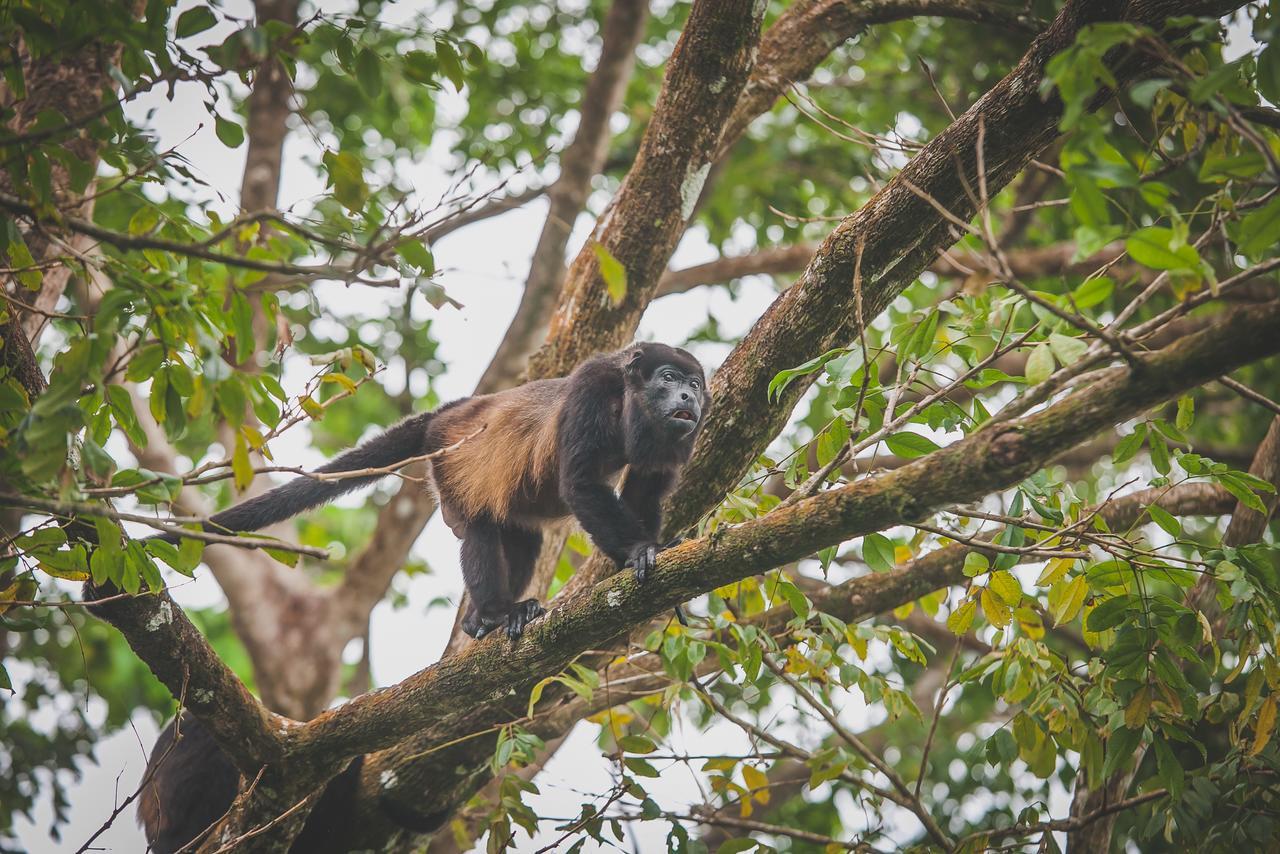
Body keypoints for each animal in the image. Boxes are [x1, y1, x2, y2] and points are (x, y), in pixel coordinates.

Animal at [160, 340, 711, 640]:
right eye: (668, 378)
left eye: (695, 384)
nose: (689, 397)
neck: (628, 403)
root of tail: (448, 413)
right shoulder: (592, 389)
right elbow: (580, 483)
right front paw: (638, 551)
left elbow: (645, 493)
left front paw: (651, 550)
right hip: (450, 462)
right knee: (481, 530)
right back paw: (496, 613)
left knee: (523, 537)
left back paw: (482, 619)